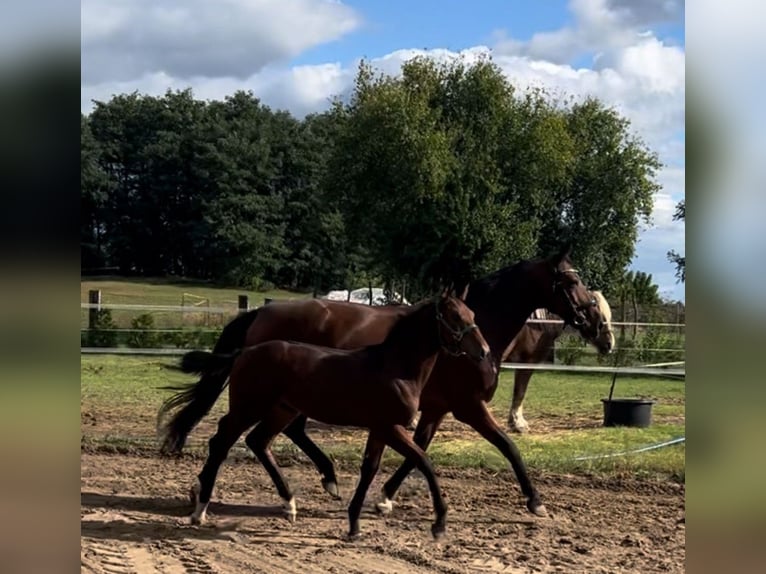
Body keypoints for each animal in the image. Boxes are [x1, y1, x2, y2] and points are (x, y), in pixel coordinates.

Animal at [170, 294, 492, 544]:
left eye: (473, 314)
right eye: (454, 316)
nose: (484, 351)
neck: (395, 368)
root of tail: (244, 351)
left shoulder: (379, 428)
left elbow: (370, 469)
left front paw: (354, 526)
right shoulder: (391, 427)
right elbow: (424, 462)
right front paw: (438, 525)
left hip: (282, 410)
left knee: (257, 440)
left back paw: (290, 503)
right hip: (249, 407)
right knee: (221, 441)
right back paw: (200, 508)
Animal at [510, 292, 616, 432]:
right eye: (601, 318)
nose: (610, 344)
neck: (535, 324)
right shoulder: (526, 363)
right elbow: (520, 392)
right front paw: (518, 424)